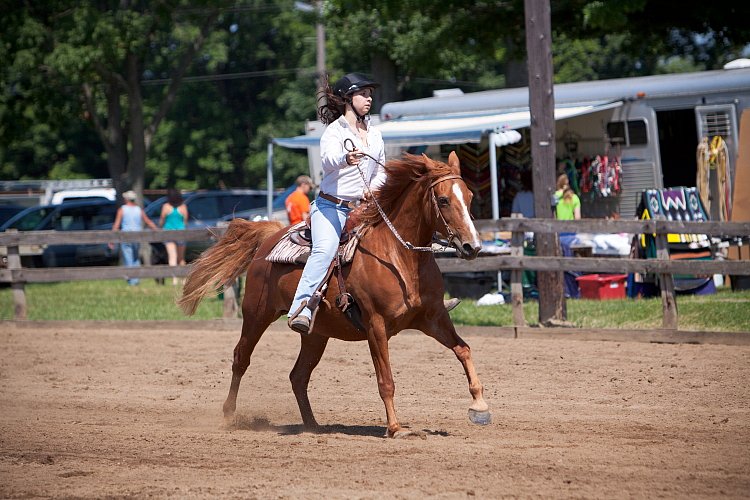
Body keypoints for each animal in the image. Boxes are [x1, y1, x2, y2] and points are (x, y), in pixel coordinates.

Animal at [178, 152, 494, 438]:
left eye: (468, 197)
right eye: (443, 200)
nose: (472, 246)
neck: (400, 257)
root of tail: (269, 237)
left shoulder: (433, 318)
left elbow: (464, 350)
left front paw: (480, 407)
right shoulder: (376, 326)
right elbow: (386, 380)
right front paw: (395, 429)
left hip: (316, 334)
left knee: (298, 376)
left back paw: (312, 425)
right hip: (257, 315)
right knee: (241, 358)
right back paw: (229, 415)